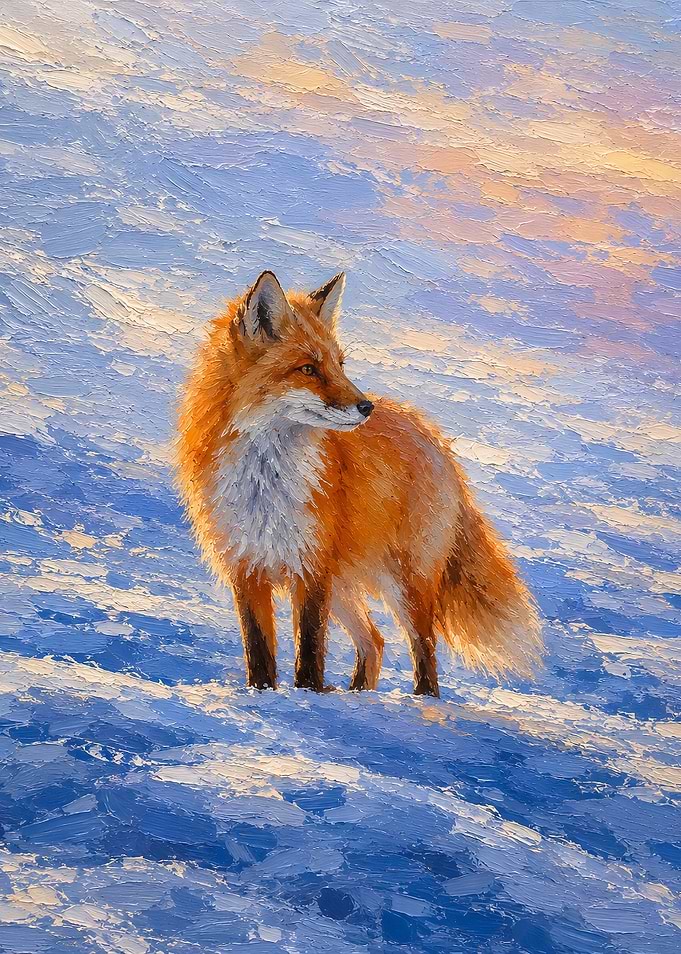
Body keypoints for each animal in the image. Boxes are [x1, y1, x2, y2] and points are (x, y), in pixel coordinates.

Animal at [175, 270, 542, 697]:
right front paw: (263, 696)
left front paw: (306, 697)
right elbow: (260, 654)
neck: (266, 479)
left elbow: (309, 650)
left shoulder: (311, 567)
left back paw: (420, 701)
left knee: (424, 650)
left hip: (406, 584)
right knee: (374, 640)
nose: (366, 407)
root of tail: (433, 437)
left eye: (340, 364)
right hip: (346, 588)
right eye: (308, 369)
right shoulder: (246, 566)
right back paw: (357, 695)